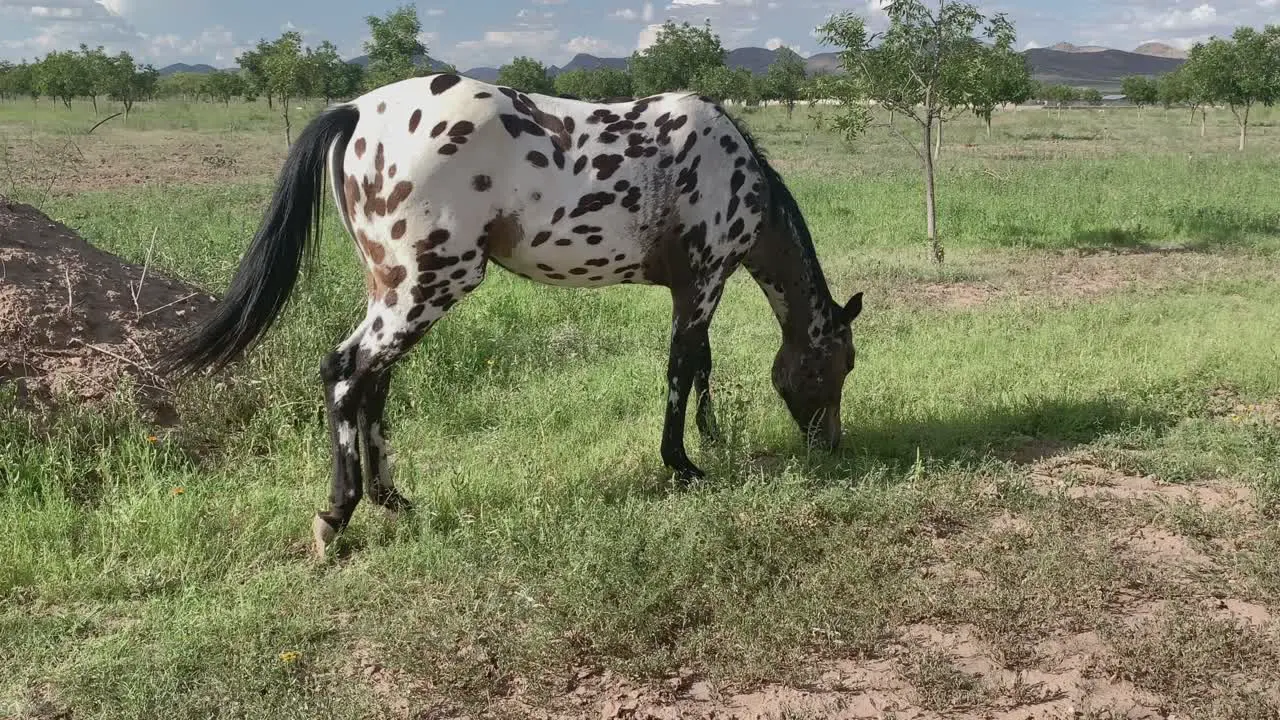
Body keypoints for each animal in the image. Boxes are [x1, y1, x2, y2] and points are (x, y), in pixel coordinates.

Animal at [157, 73, 860, 556]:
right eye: (843, 364)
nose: (830, 444)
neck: (731, 164)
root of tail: (355, 111)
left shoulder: (692, 288)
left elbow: (700, 365)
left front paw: (707, 440)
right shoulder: (703, 282)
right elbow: (684, 369)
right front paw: (684, 464)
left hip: (393, 288)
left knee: (371, 383)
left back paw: (395, 502)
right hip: (430, 285)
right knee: (346, 371)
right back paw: (336, 517)